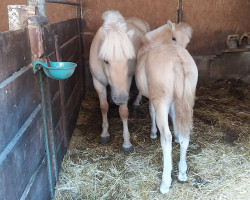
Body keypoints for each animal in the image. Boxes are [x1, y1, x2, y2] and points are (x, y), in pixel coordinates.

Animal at [89, 10, 149, 152]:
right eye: (105, 60)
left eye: (128, 60)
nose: (121, 99)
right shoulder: (98, 82)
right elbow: (103, 107)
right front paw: (104, 134)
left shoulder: (126, 83)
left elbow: (123, 112)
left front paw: (126, 142)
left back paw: (136, 102)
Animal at [136, 20, 198, 194]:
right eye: (174, 38)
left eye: (188, 41)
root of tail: (177, 58)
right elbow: (175, 118)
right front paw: (177, 136)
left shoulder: (154, 100)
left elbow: (152, 113)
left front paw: (152, 133)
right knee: (185, 135)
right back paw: (182, 173)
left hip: (161, 103)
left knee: (166, 138)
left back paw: (165, 182)